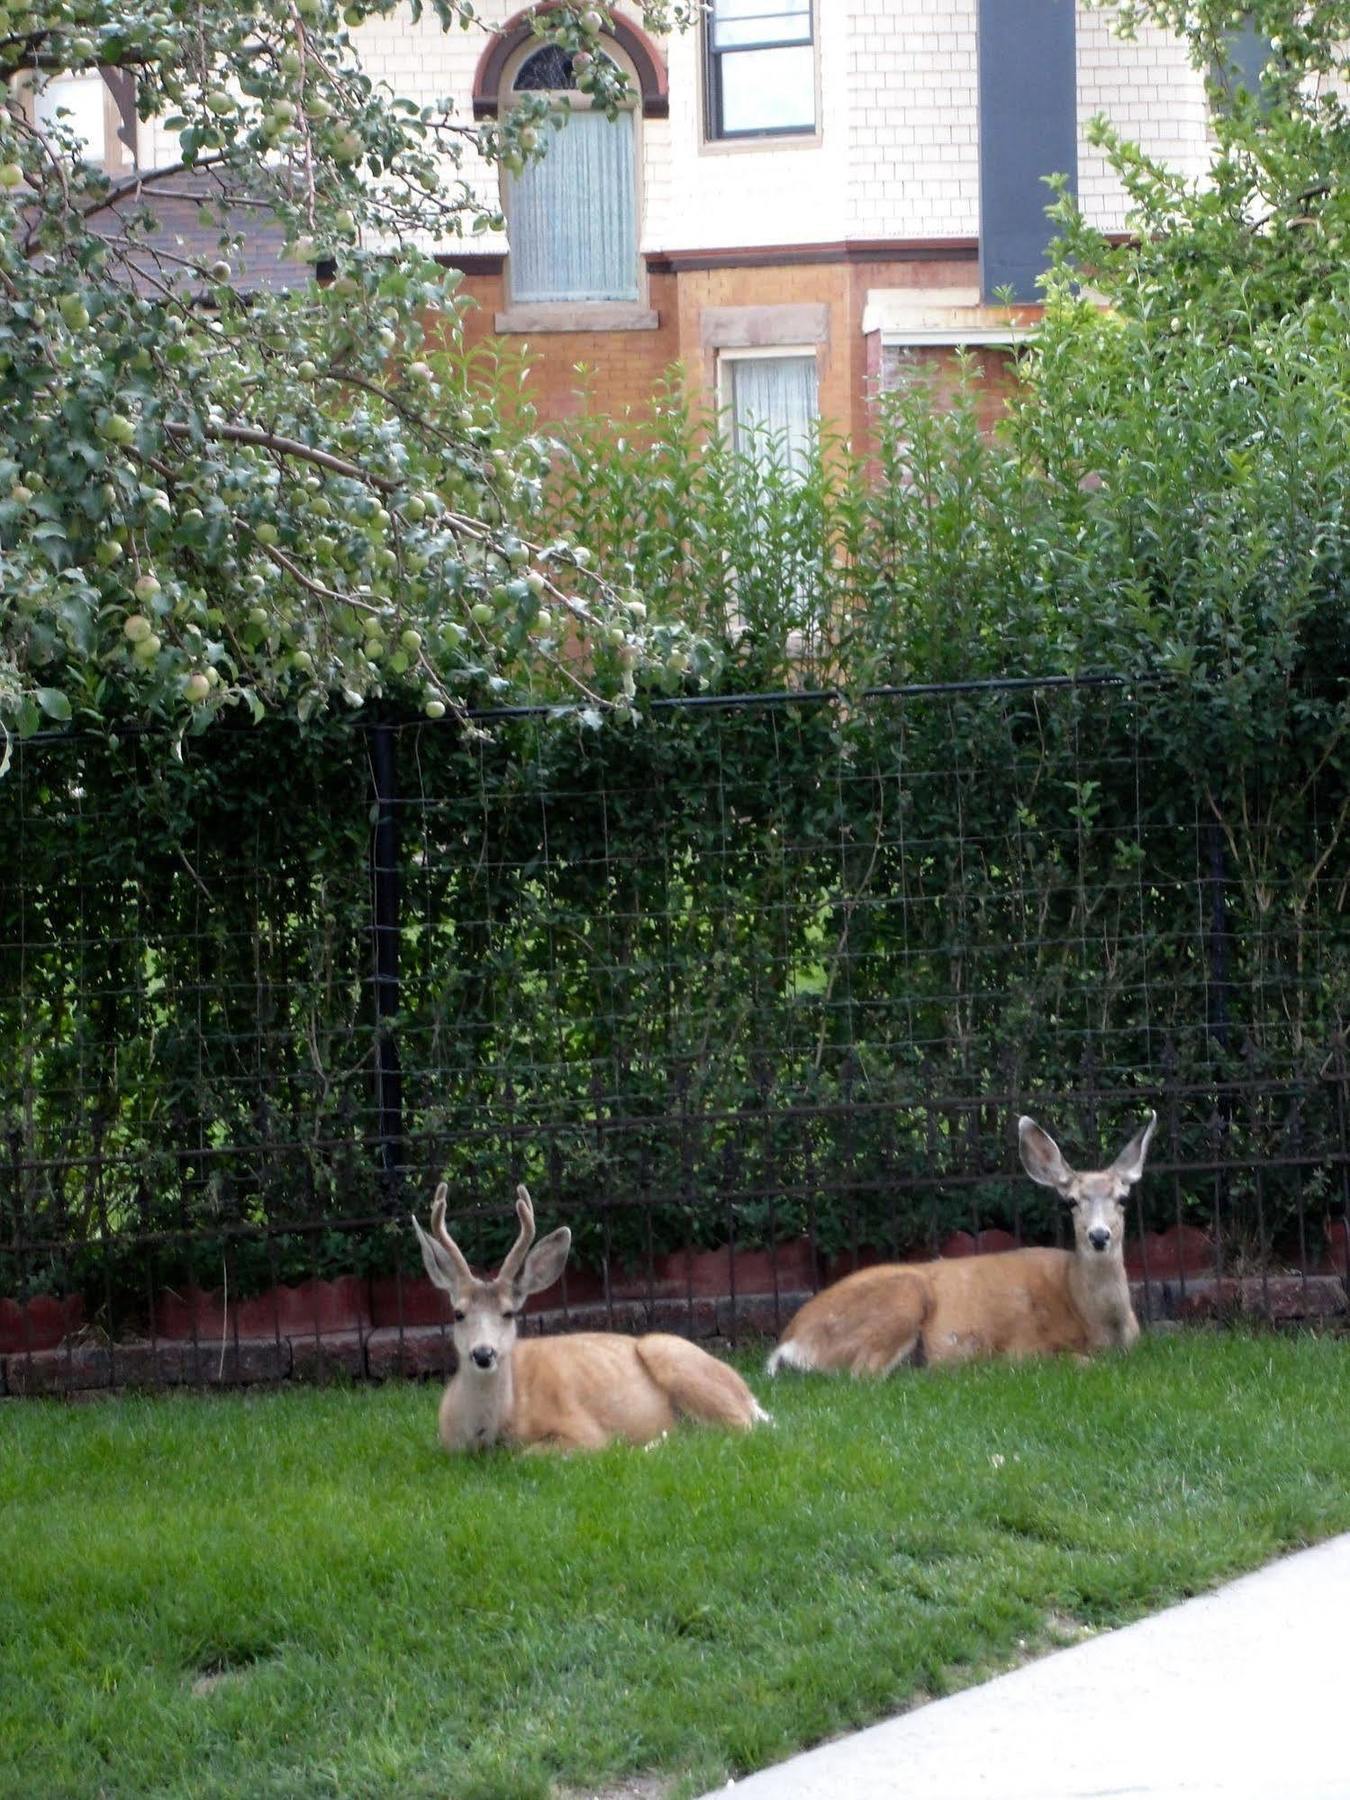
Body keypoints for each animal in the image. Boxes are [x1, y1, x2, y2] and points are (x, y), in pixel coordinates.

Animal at [410, 1180, 770, 1447]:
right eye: (458, 1313)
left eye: (509, 1313)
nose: (483, 1354)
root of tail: (748, 1394)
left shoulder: (583, 1432)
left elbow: (532, 1452)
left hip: (673, 1356)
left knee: (739, 1428)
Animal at [766, 1108, 1159, 1375]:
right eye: (1072, 1201)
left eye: (1123, 1198)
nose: (1098, 1236)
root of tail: (787, 1344)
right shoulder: (1026, 1345)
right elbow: (1078, 1360)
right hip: (901, 1298)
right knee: (864, 1372)